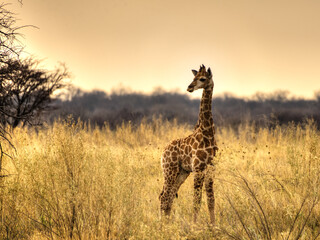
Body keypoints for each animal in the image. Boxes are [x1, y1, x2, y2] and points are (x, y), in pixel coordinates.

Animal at [159, 64, 219, 225]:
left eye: (202, 78)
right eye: (194, 77)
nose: (189, 87)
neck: (207, 133)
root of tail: (163, 152)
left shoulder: (210, 168)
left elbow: (211, 200)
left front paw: (214, 226)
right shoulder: (198, 169)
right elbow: (196, 201)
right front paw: (194, 225)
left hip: (181, 172)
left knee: (169, 195)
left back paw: (167, 224)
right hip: (169, 170)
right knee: (164, 197)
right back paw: (161, 226)